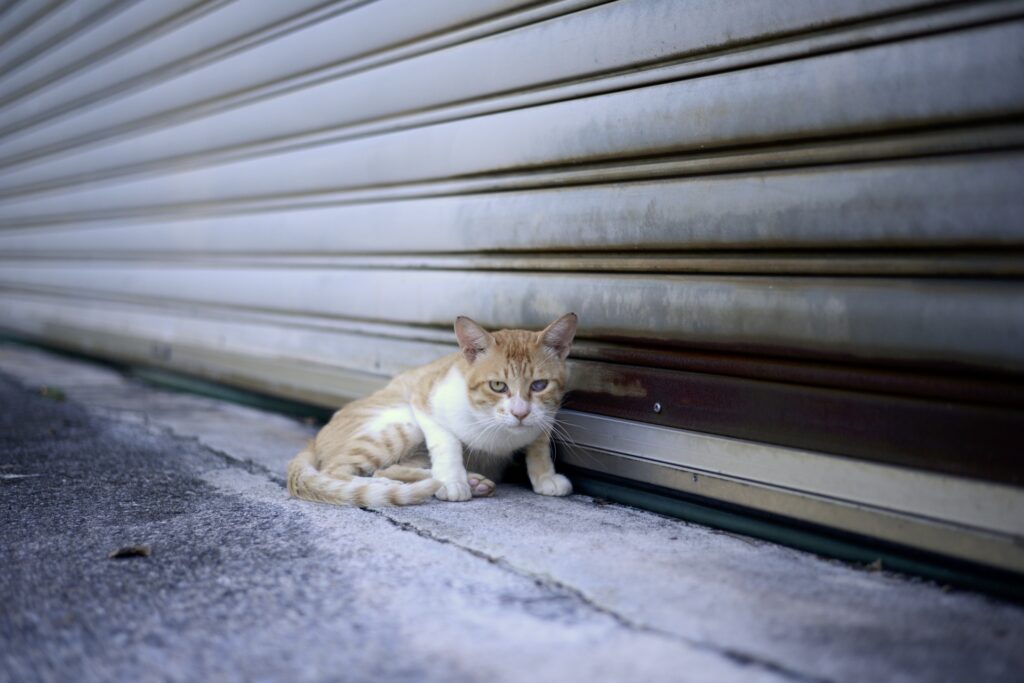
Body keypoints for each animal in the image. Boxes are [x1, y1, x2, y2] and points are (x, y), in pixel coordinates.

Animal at [288, 315, 577, 507]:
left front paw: (545, 477)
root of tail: (314, 439)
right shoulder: (422, 396)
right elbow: (447, 443)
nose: (520, 413)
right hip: (403, 422)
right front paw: (452, 481)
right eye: (498, 385)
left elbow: (539, 445)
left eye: (539, 385)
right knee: (337, 471)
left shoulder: (545, 415)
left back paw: (472, 481)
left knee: (388, 468)